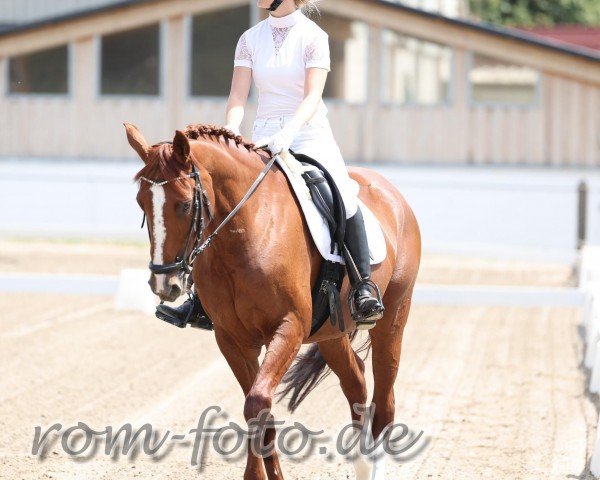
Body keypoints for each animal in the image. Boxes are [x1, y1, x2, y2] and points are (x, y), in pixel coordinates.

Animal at [124, 124, 420, 480]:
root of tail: (393, 193)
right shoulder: (232, 339)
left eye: (183, 205)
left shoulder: (289, 327)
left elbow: (256, 402)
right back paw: (360, 460)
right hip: (332, 333)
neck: (244, 231)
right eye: (141, 203)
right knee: (356, 379)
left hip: (392, 320)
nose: (163, 284)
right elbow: (256, 408)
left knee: (385, 399)